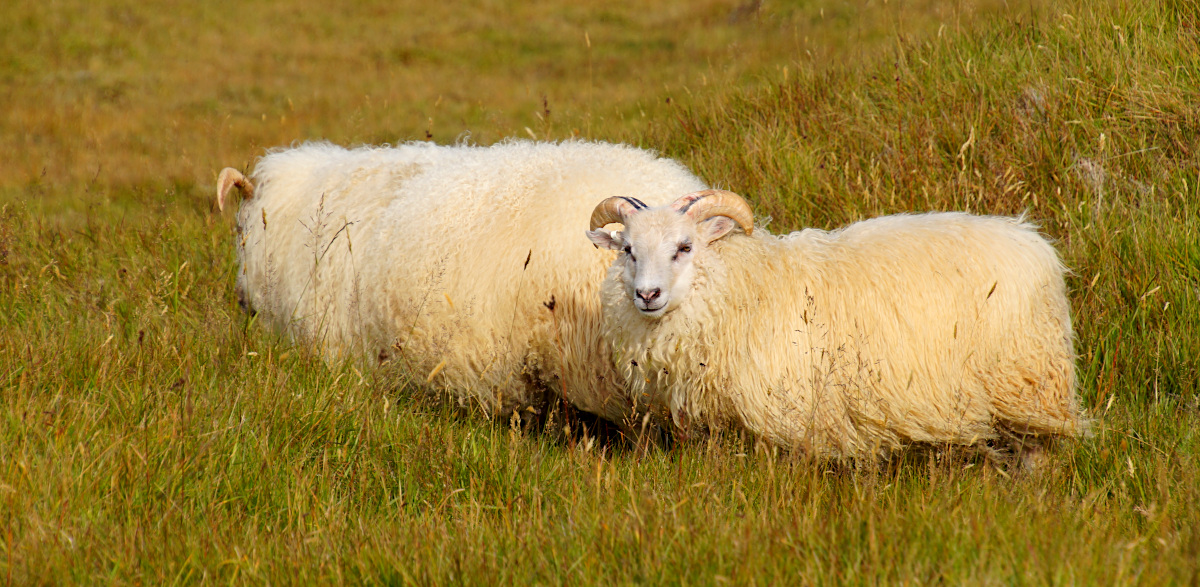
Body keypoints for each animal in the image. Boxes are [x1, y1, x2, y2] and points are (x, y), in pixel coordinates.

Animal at [585, 189, 1084, 456]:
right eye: (628, 250)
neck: (745, 285)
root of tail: (1033, 240)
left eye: (684, 247)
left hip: (1027, 381)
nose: (647, 295)